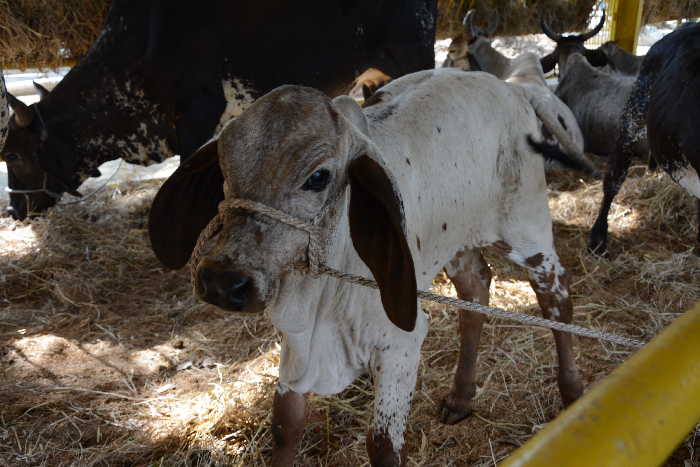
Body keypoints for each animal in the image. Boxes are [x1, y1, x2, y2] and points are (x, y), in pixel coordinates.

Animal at [149, 67, 584, 466]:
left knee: (556, 298)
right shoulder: (298, 342)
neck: (322, 292)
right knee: (475, 291)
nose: (223, 281)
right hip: (454, 240)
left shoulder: (400, 344)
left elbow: (383, 447)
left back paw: (573, 395)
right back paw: (461, 397)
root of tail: (510, 87)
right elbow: (285, 424)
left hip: (527, 228)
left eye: (318, 176)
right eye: (225, 169)